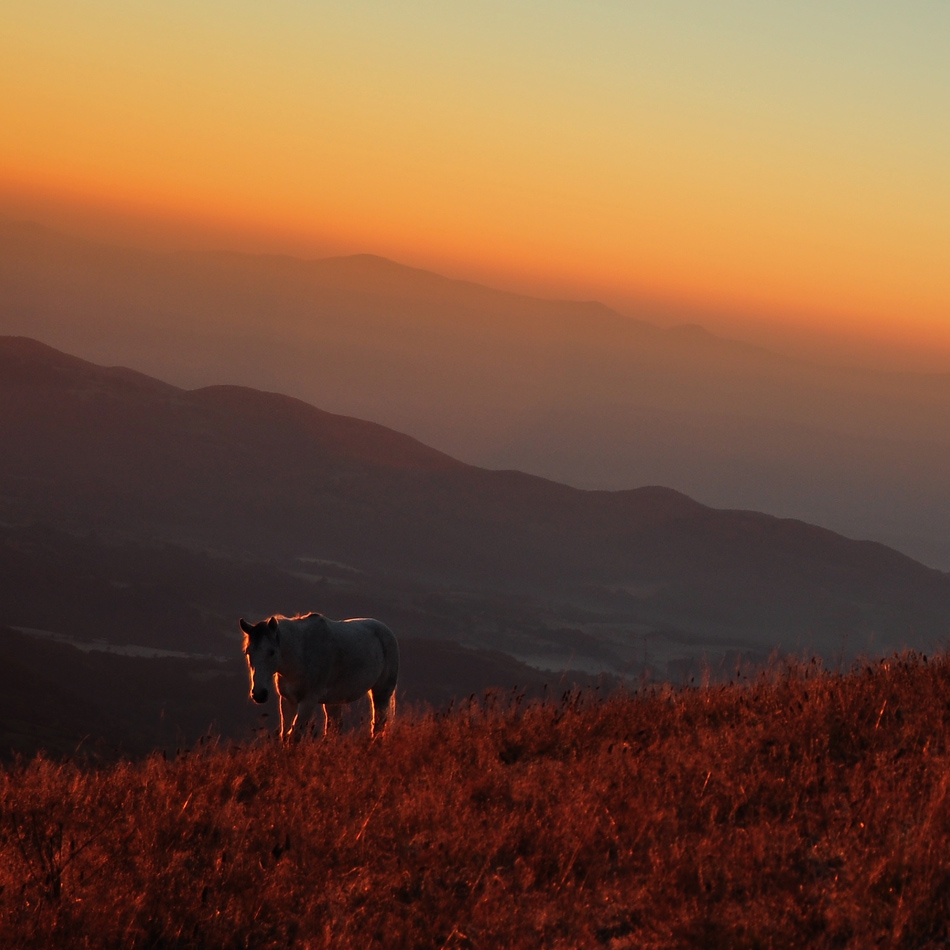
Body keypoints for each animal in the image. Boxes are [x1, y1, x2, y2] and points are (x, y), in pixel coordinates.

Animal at [244, 612, 400, 740]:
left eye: (271, 652)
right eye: (248, 652)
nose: (259, 694)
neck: (300, 654)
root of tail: (386, 631)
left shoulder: (308, 701)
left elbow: (294, 736)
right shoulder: (288, 700)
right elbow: (285, 734)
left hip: (381, 693)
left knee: (378, 724)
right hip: (334, 701)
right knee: (334, 729)